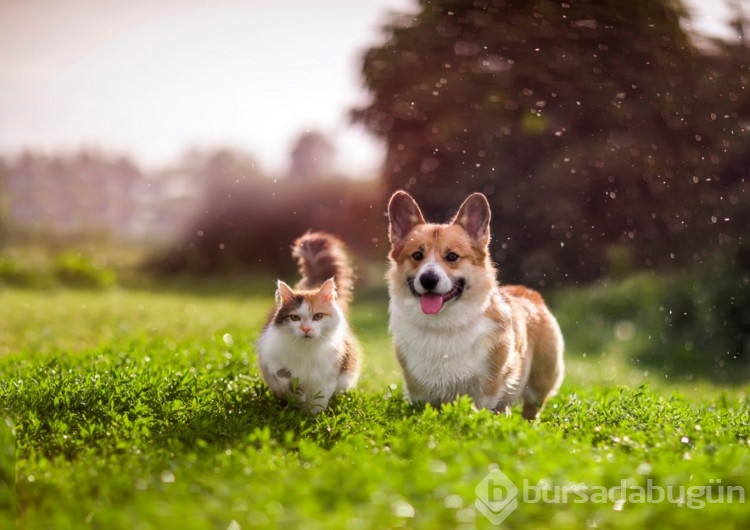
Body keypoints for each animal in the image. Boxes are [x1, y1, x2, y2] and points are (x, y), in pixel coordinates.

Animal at [258, 231, 362, 412]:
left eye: (317, 316)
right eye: (295, 318)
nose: (306, 329)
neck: (306, 350)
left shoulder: (328, 374)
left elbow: (319, 400)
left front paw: (312, 415)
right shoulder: (271, 358)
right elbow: (285, 376)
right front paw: (297, 398)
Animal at [388, 190, 564, 416]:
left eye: (452, 256)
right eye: (417, 255)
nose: (428, 279)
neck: (443, 325)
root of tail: (529, 292)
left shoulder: (487, 390)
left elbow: (480, 411)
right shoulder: (418, 392)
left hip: (538, 384)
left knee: (530, 410)